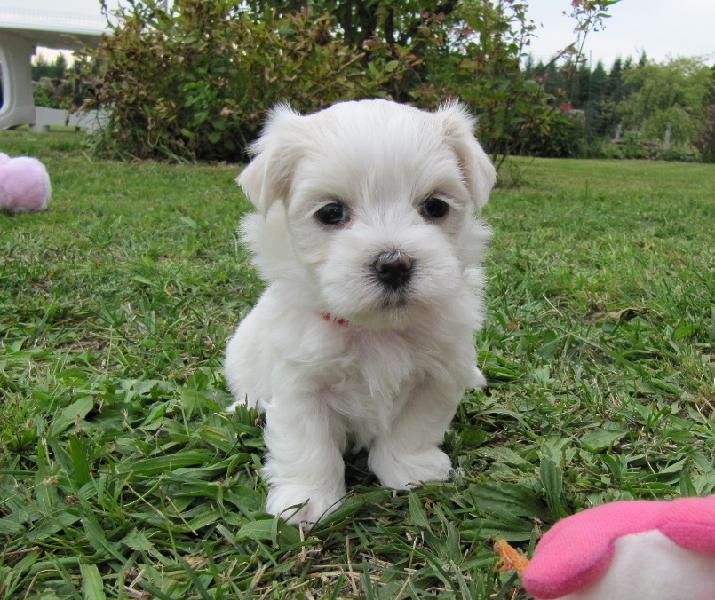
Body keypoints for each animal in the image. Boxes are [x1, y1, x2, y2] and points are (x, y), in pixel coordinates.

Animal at [227, 99, 496, 524]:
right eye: (330, 212)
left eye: (436, 206)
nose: (394, 264)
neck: (375, 330)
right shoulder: (301, 385)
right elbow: (308, 445)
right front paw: (307, 501)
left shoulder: (437, 375)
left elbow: (414, 427)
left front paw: (409, 469)